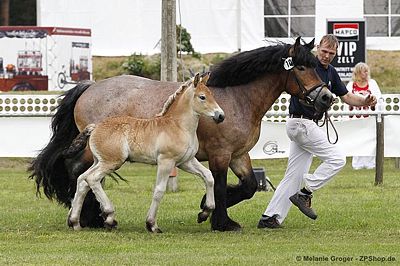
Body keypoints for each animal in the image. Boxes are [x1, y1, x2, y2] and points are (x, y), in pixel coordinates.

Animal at [64, 73, 223, 233]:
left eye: (212, 94)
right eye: (202, 97)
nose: (220, 115)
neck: (178, 126)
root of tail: (95, 127)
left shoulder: (186, 161)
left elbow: (208, 176)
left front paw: (205, 212)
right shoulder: (166, 161)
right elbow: (159, 190)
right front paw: (152, 224)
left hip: (99, 161)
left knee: (82, 180)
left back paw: (75, 222)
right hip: (112, 162)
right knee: (92, 178)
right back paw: (109, 217)